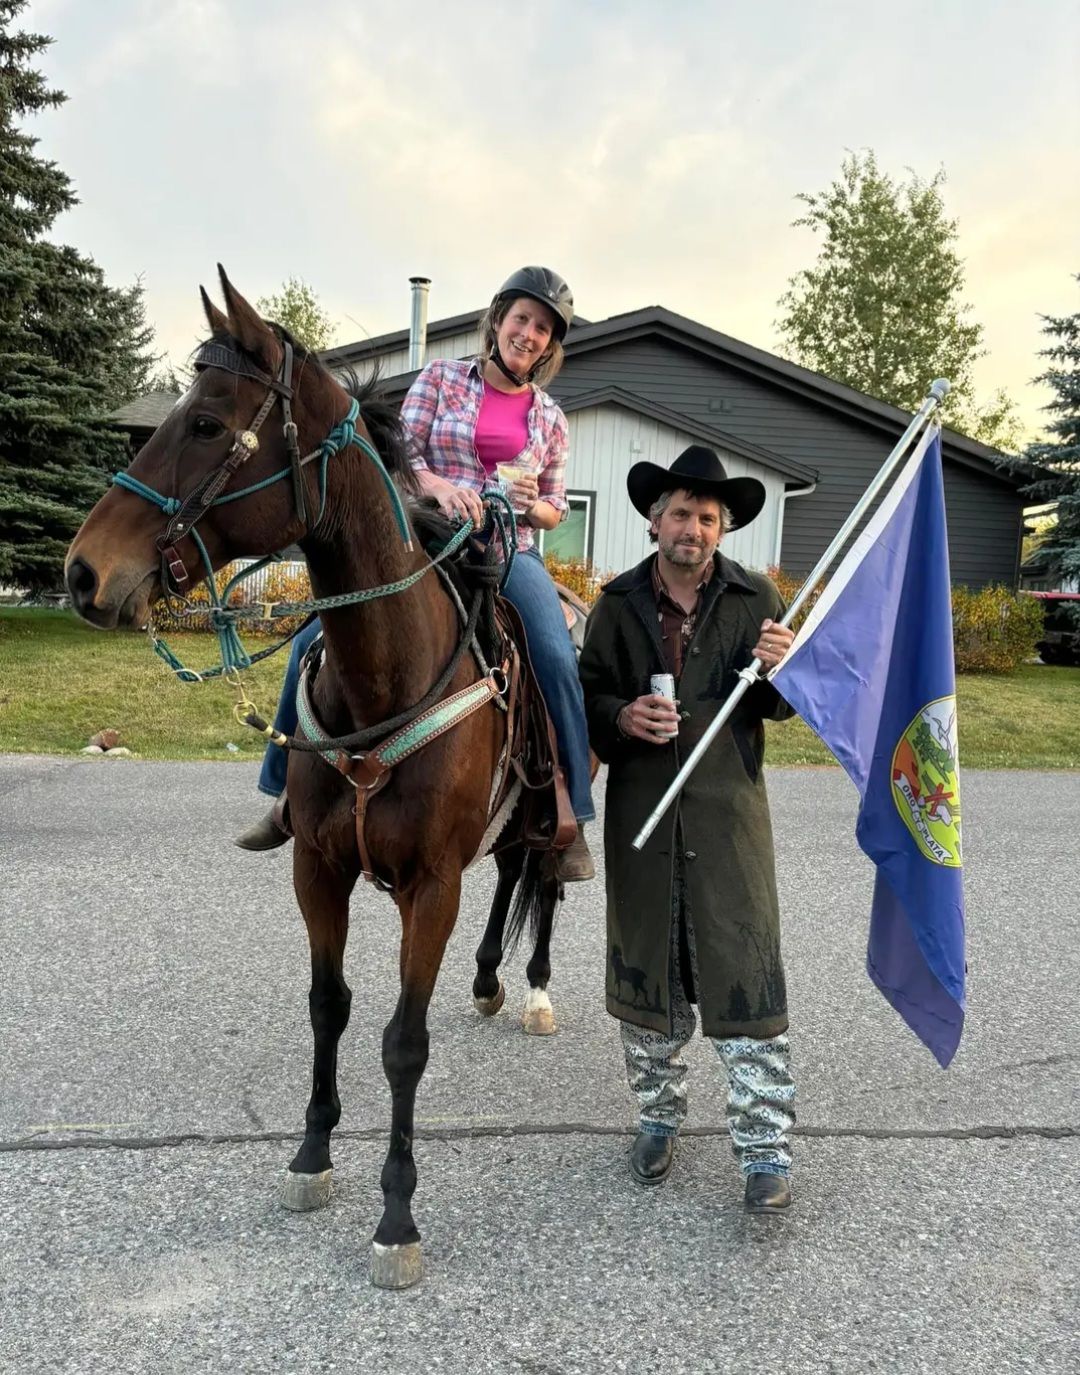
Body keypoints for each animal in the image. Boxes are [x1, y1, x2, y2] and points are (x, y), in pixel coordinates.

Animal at [65, 267, 577, 1288]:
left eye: (209, 424)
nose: (82, 572)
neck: (391, 668)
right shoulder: (319, 870)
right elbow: (328, 1009)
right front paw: (309, 1156)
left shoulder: (431, 886)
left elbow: (403, 1043)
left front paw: (397, 1217)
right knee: (510, 872)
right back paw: (490, 979)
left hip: (559, 807)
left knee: (545, 875)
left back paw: (535, 988)